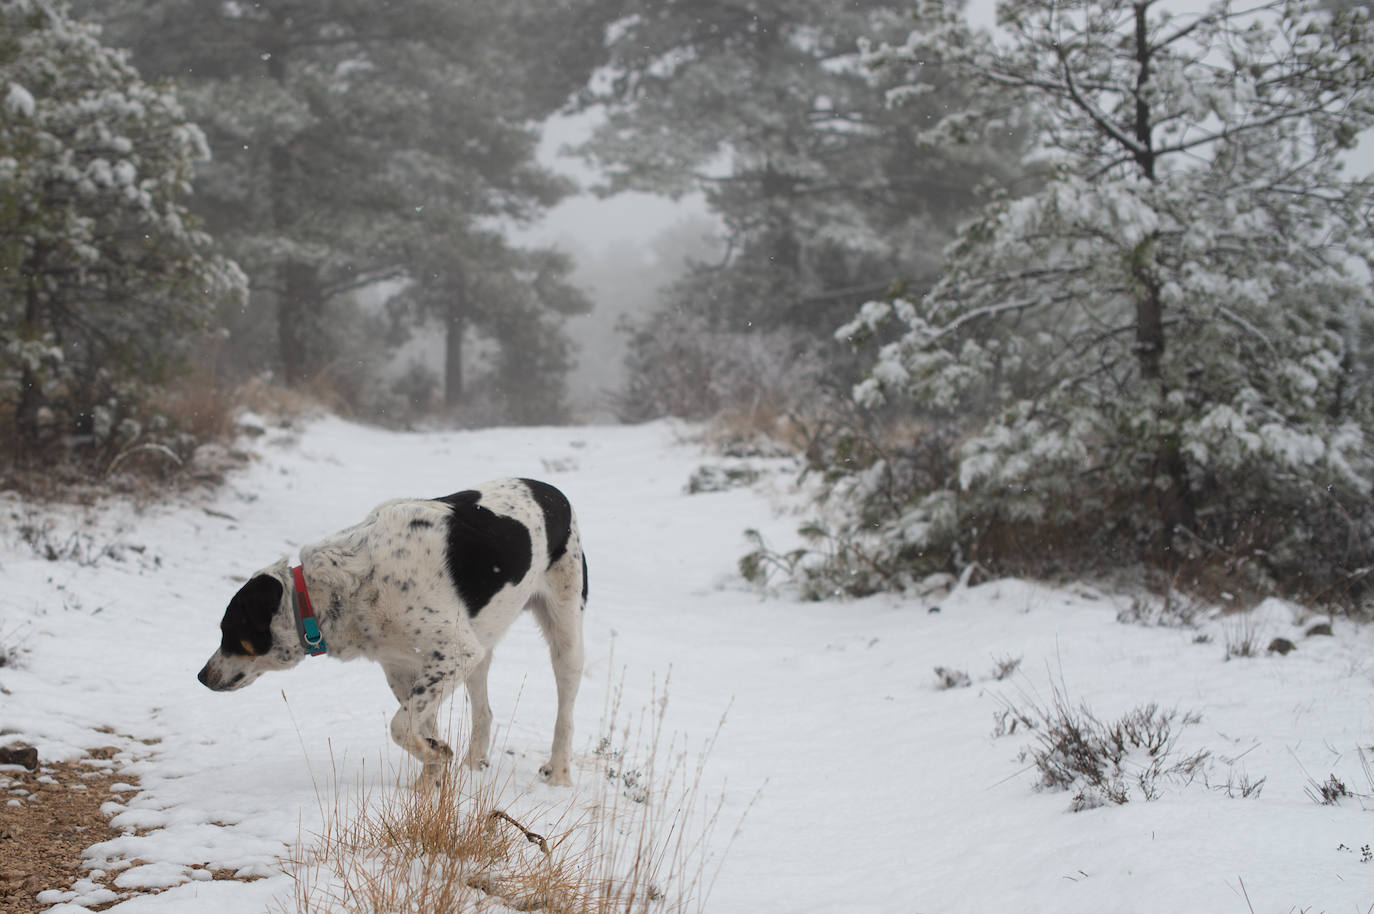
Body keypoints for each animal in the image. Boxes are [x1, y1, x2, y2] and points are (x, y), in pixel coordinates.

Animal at [197, 478, 585, 786]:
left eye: (228, 631)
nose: (201, 676)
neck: (336, 589)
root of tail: (554, 492)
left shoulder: (454, 654)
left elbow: (400, 726)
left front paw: (435, 762)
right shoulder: (402, 667)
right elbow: (418, 727)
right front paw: (430, 782)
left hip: (564, 635)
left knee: (565, 716)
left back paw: (560, 775)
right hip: (482, 643)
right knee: (484, 712)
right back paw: (473, 765)